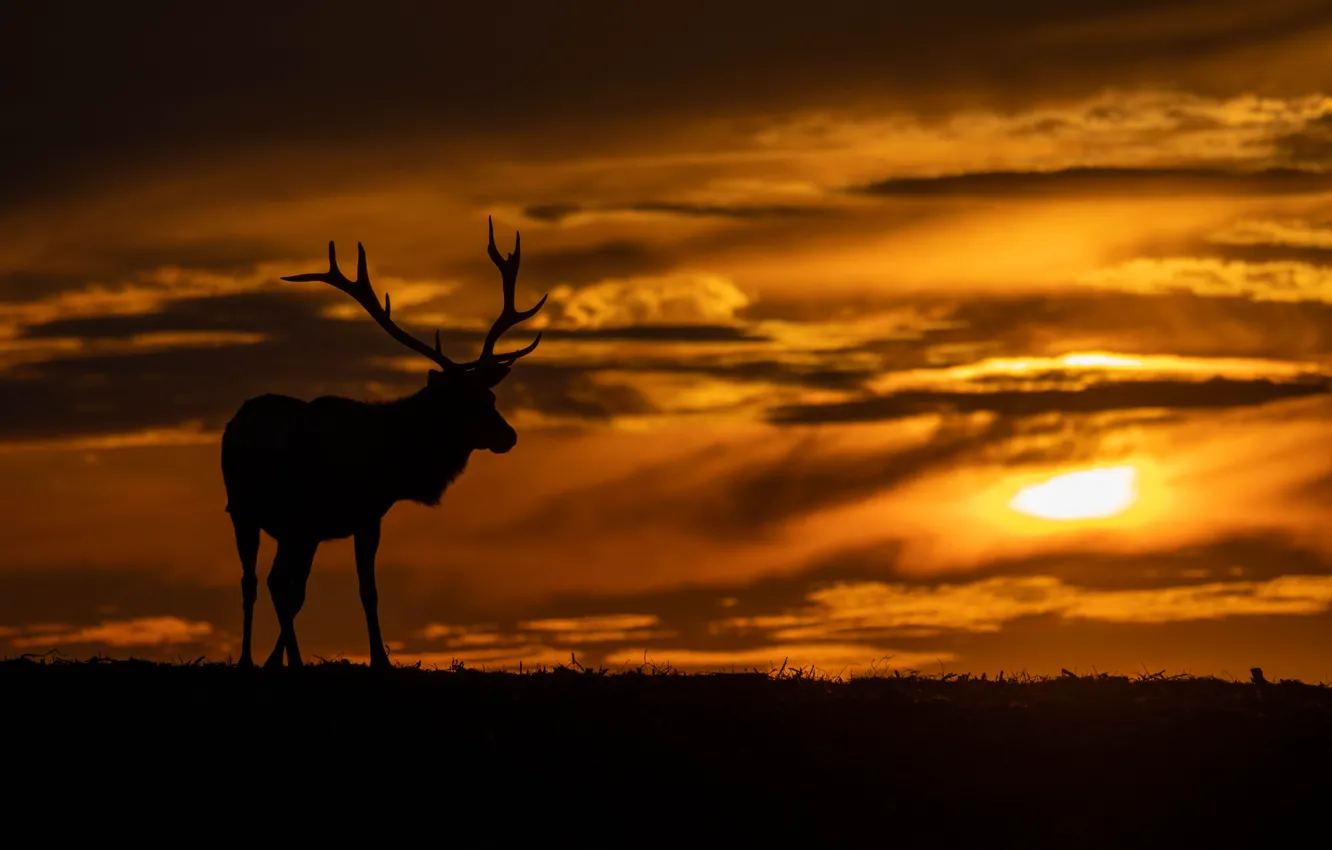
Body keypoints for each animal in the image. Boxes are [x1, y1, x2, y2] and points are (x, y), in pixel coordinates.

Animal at [221, 217, 546, 670]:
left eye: (491, 396)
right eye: (467, 403)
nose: (509, 436)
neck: (393, 462)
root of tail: (236, 427)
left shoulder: (339, 522)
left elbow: (335, 592)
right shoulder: (347, 516)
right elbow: (352, 591)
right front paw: (377, 659)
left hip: (273, 520)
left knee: (266, 582)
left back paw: (261, 659)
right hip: (265, 513)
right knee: (263, 581)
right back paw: (267, 660)